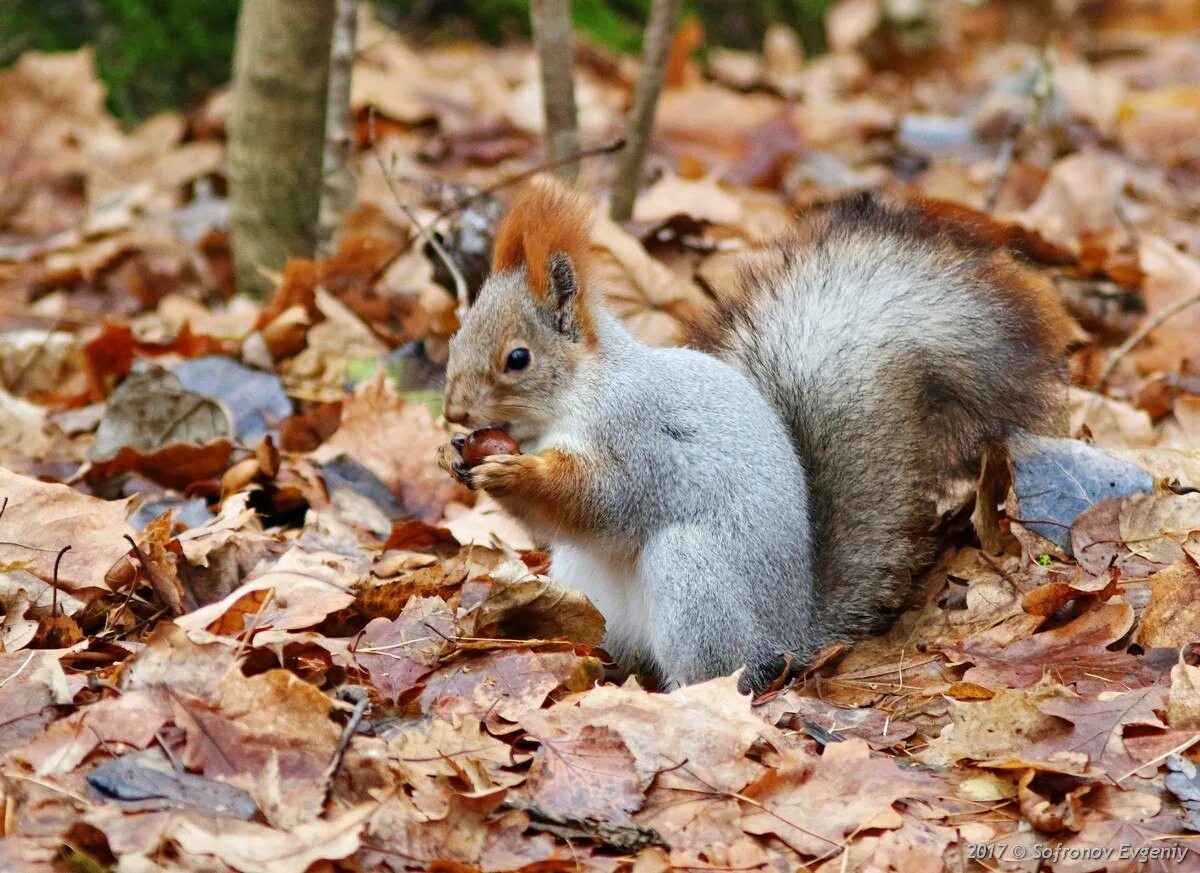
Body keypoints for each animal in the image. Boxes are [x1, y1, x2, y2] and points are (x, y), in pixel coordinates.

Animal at [439, 177, 1070, 690]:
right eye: (455, 335)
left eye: (517, 358)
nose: (452, 413)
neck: (572, 399)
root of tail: (792, 634)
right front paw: (458, 460)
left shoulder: (640, 436)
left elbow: (606, 500)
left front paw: (514, 473)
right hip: (589, 585)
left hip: (697, 579)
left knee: (720, 671)